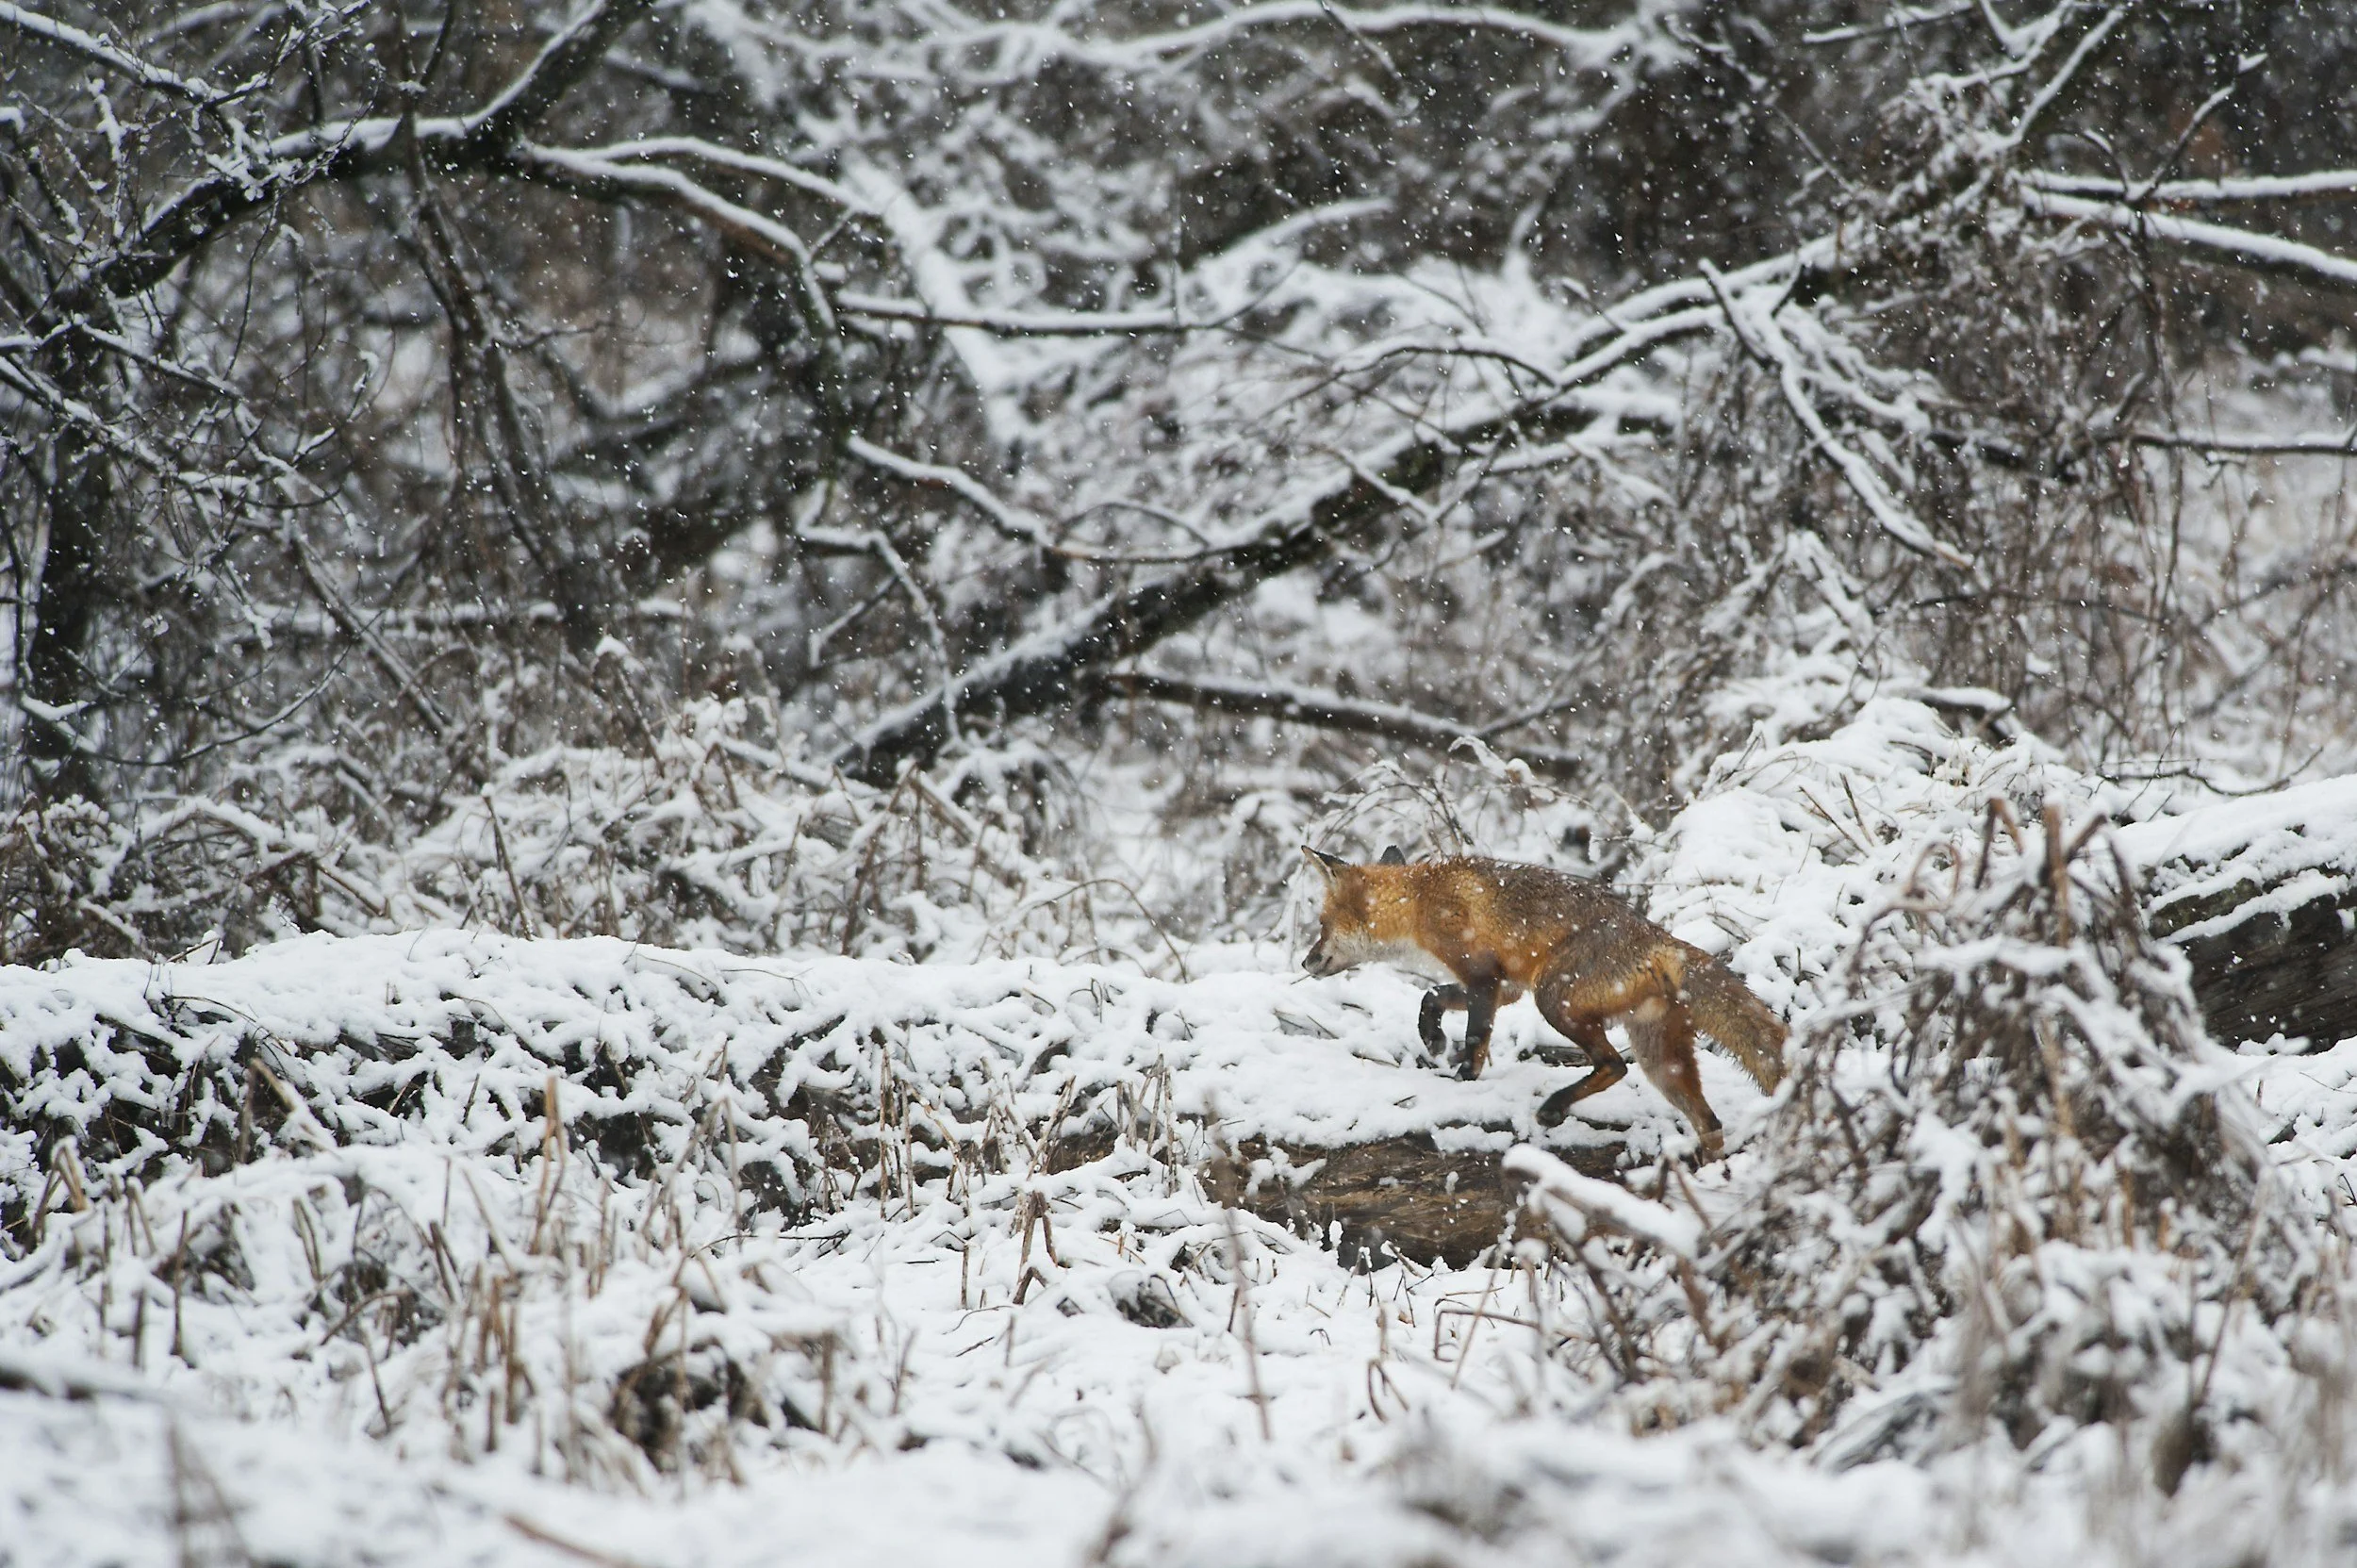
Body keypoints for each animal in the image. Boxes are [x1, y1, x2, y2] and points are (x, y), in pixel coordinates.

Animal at [1301, 847, 1787, 1156]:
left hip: (1555, 1000)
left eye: (1321, 924)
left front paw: (1462, 1080)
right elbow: (1431, 996)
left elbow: (1474, 1037)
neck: (1420, 900)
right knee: (1710, 1124)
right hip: (1659, 1060)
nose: (1305, 961)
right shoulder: (1505, 986)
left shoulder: (1483, 976)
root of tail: (1662, 939)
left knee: (1614, 1065)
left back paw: (1554, 1107)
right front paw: (1433, 1037)